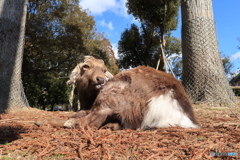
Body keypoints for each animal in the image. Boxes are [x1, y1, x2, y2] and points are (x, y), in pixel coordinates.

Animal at [38, 64, 198, 129]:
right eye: (86, 67)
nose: (100, 80)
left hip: (109, 96)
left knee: (86, 123)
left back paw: (42, 122)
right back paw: (110, 125)